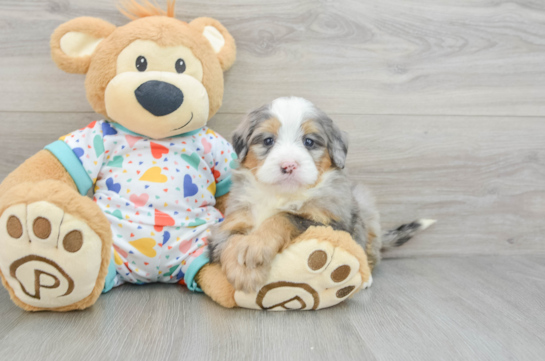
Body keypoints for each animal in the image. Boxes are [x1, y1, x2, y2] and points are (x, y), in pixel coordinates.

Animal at [208, 95, 434, 290]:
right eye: (268, 141)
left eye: (309, 142)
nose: (288, 165)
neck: (281, 194)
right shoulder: (233, 221)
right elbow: (229, 242)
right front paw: (243, 272)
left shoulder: (329, 222)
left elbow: (284, 216)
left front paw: (254, 247)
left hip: (364, 208)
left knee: (368, 250)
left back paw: (366, 276)